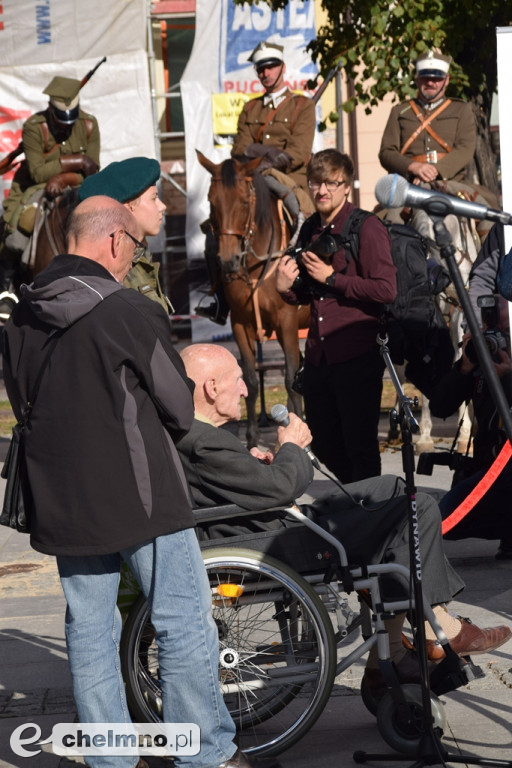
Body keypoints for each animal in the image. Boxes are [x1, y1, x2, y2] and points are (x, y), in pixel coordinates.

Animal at [196, 150, 308, 448]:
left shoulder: (287, 323)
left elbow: (290, 378)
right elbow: (249, 379)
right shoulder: (240, 323)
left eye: (244, 202)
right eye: (211, 201)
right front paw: (252, 438)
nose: (228, 260)